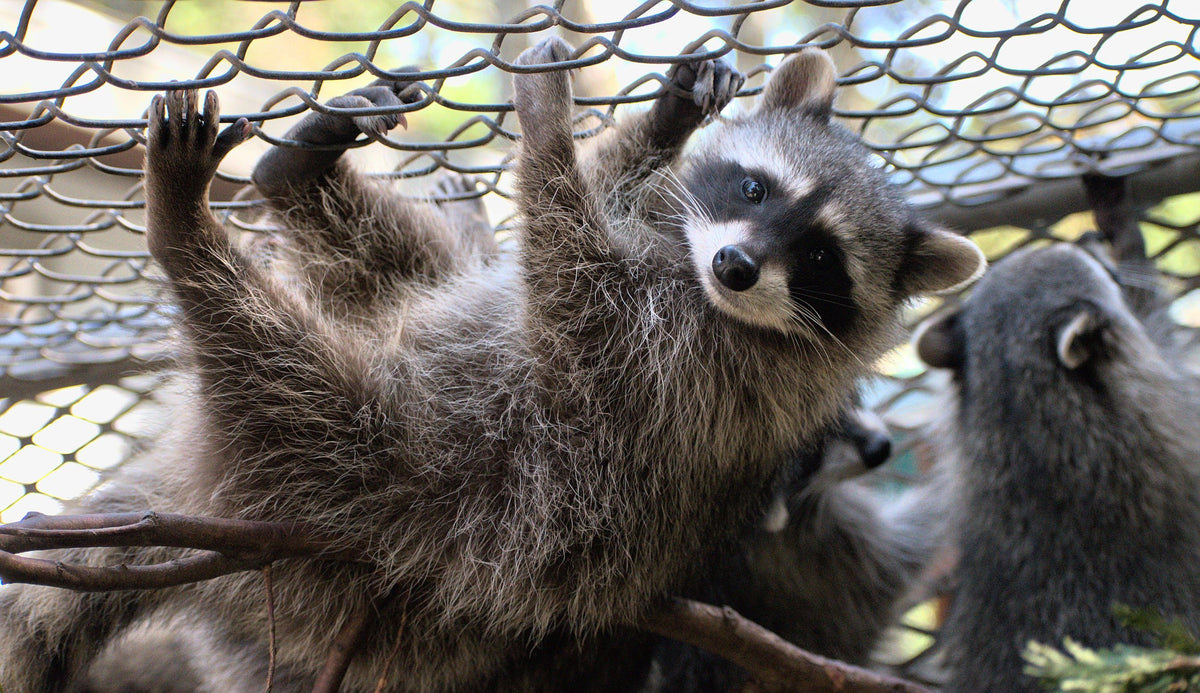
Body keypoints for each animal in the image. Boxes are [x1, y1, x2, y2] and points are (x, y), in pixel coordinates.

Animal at [0, 38, 983, 692]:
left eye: (818, 260)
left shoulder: (697, 378)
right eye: (754, 187)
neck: (716, 292)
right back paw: (298, 174)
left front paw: (548, 137)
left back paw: (185, 236)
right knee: (414, 271)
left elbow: (570, 290)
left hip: (345, 490)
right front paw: (662, 122)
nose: (739, 265)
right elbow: (594, 213)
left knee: (287, 368)